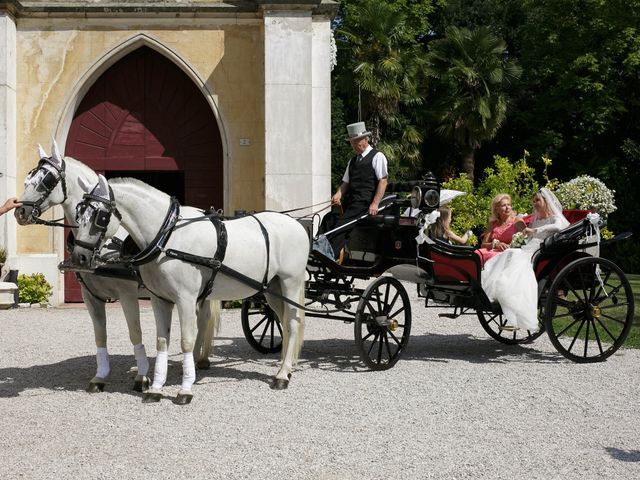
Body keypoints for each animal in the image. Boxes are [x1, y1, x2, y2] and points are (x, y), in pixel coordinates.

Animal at [15, 144, 219, 396]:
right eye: (30, 176)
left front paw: (142, 377)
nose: (20, 212)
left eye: (47, 179)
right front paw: (100, 376)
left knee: (203, 318)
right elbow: (100, 336)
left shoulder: (127, 294)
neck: (104, 246)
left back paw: (201, 360)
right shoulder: (90, 296)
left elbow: (135, 332)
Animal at [70, 174, 310, 404]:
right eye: (79, 213)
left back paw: (282, 375)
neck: (167, 238)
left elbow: (186, 340)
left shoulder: (184, 299)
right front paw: (155, 389)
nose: (78, 257)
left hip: (290, 283)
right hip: (271, 290)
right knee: (285, 321)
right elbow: (161, 341)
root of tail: (297, 224)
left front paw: (184, 390)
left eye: (99, 216)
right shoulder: (159, 300)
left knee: (292, 323)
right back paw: (287, 367)